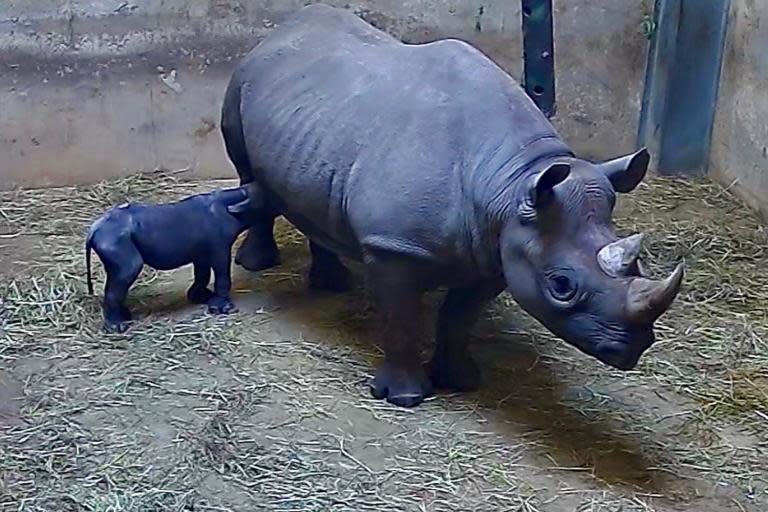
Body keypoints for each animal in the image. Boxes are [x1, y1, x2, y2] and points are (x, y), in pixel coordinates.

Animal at [86, 186, 260, 334]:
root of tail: (94, 229)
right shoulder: (219, 248)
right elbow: (222, 273)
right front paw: (225, 308)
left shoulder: (202, 252)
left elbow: (202, 273)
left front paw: (200, 296)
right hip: (114, 240)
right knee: (128, 270)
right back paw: (116, 327)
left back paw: (124, 316)